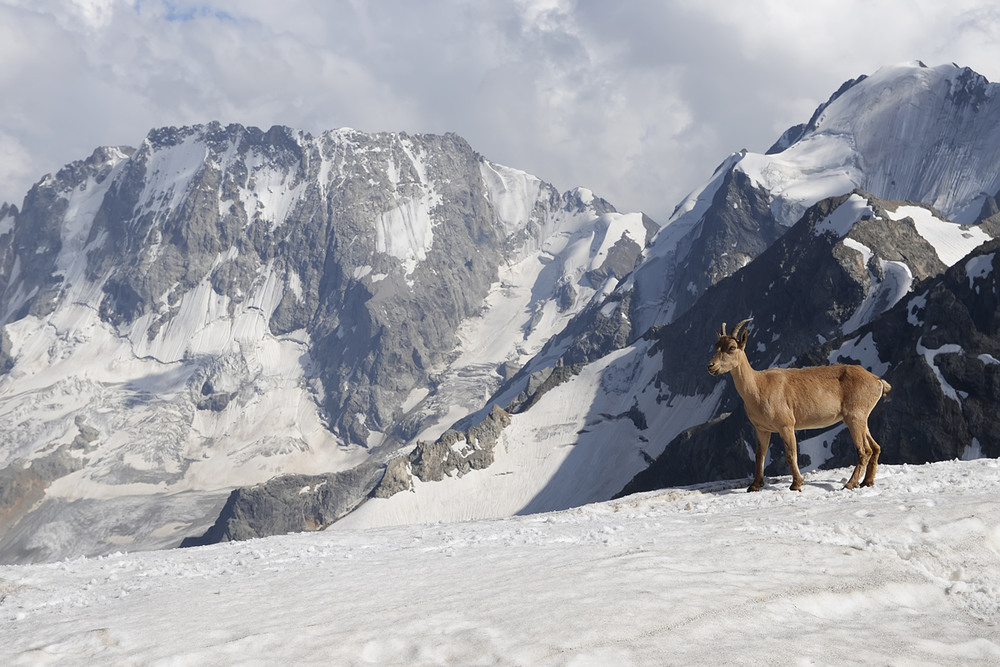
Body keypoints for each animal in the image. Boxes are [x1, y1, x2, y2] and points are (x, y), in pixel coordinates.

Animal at [712, 318, 892, 490]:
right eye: (716, 345)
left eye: (732, 347)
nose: (710, 366)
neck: (758, 386)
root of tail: (877, 381)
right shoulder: (762, 429)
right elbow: (759, 455)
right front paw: (755, 486)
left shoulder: (786, 425)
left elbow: (791, 454)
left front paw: (797, 484)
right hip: (861, 418)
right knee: (875, 447)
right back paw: (867, 482)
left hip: (854, 416)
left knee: (864, 450)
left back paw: (850, 484)